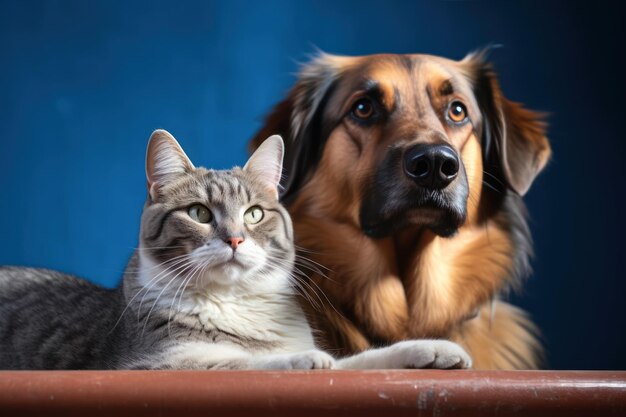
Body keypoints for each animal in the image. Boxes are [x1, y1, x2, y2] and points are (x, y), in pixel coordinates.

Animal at [0, 128, 468, 368]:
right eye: (199, 213)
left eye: (255, 214)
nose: (235, 238)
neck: (235, 304)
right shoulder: (158, 364)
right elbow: (241, 361)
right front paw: (299, 363)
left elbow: (355, 361)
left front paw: (428, 350)